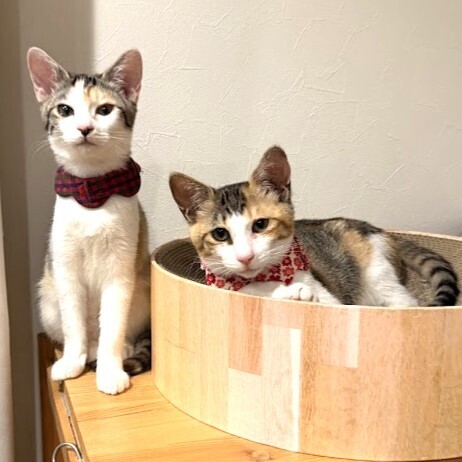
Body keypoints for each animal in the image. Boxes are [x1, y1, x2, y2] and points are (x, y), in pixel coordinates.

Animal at [27, 47, 151, 395]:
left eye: (105, 109)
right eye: (65, 109)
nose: (84, 127)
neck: (92, 191)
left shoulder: (121, 271)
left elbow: (113, 325)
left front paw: (110, 370)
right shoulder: (65, 268)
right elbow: (74, 324)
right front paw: (72, 361)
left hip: (142, 290)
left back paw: (121, 350)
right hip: (47, 296)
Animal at [169, 146, 459, 307]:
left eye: (260, 224)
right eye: (220, 233)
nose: (245, 257)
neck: (264, 279)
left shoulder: (330, 298)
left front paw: (295, 292)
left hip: (377, 270)